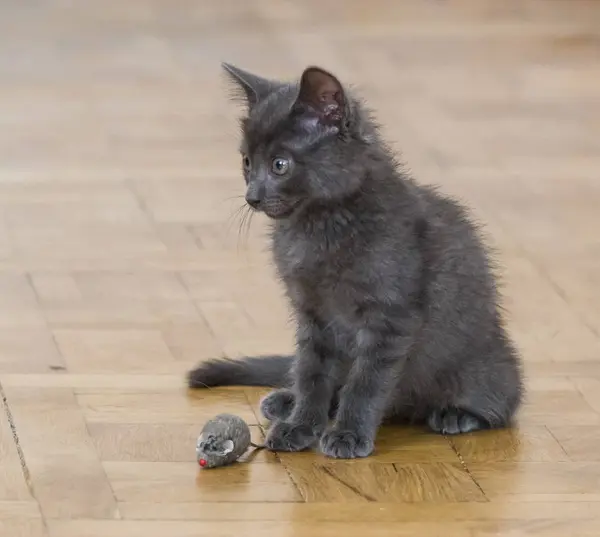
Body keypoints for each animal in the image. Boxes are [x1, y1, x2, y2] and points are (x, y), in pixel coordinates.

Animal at [190, 61, 524, 456]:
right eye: (245, 162)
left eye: (279, 165)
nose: (251, 196)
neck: (316, 227)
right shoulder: (313, 317)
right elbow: (312, 373)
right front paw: (301, 425)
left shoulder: (391, 319)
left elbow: (366, 383)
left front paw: (348, 434)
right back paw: (286, 401)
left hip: (483, 366)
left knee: (504, 400)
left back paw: (456, 413)